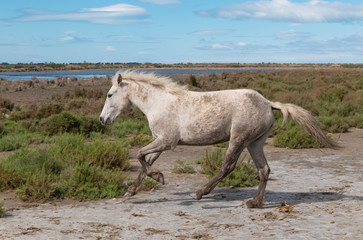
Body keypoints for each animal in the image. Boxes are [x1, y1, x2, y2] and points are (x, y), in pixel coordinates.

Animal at [100, 70, 338, 207]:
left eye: (110, 95)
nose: (102, 120)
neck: (159, 103)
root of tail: (268, 103)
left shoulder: (167, 142)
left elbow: (139, 154)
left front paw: (157, 177)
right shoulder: (160, 142)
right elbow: (144, 162)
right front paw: (132, 190)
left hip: (239, 139)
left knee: (228, 167)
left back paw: (200, 193)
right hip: (255, 143)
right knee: (264, 170)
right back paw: (255, 203)